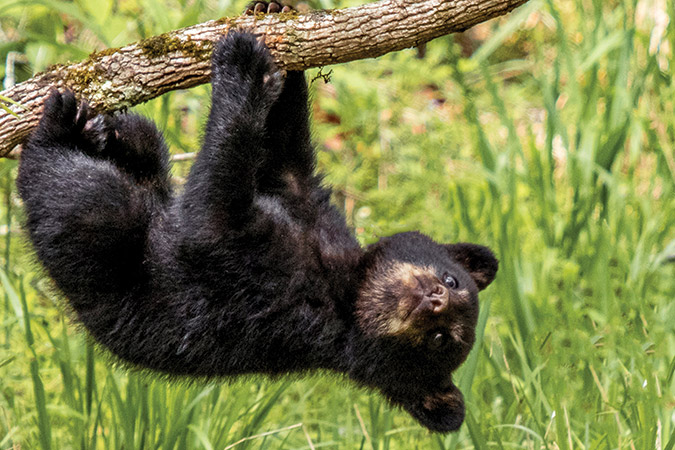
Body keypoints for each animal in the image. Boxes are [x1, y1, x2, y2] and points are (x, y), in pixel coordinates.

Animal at [16, 5, 498, 433]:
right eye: (453, 279)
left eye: (442, 339)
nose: (436, 298)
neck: (345, 287)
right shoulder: (309, 209)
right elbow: (283, 159)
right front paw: (274, 20)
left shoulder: (279, 295)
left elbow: (209, 221)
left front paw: (243, 65)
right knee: (147, 148)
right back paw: (112, 134)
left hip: (99, 234)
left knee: (81, 192)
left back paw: (57, 128)